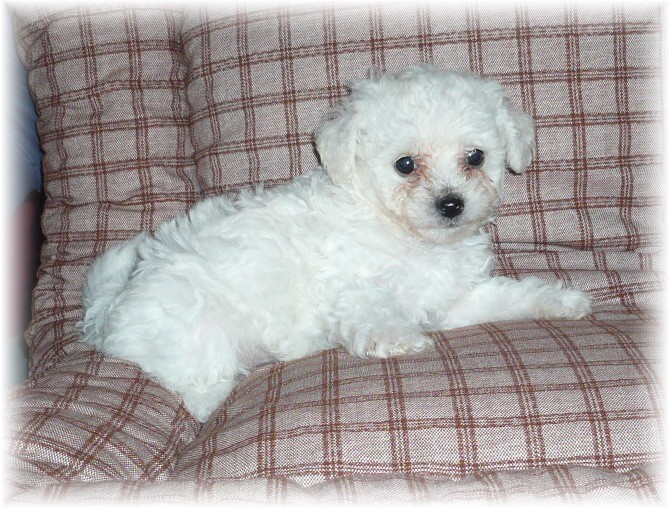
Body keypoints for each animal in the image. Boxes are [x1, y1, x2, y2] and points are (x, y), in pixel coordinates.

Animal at [79, 66, 592, 422]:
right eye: (406, 165)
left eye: (476, 158)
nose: (451, 204)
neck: (406, 235)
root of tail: (112, 306)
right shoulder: (347, 284)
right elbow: (370, 306)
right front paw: (398, 338)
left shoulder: (451, 301)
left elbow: (505, 297)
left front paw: (561, 301)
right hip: (198, 333)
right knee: (197, 387)